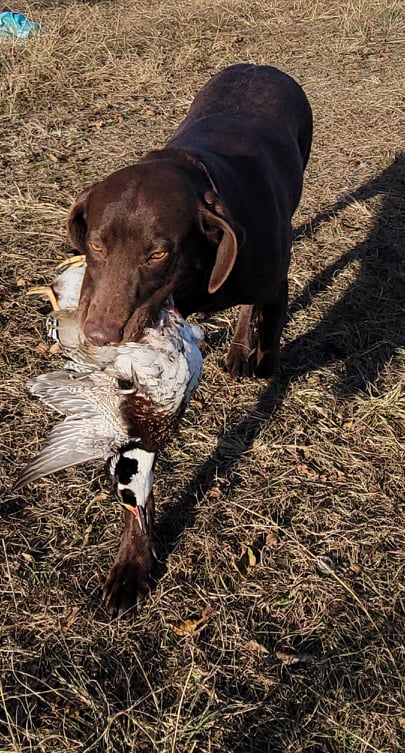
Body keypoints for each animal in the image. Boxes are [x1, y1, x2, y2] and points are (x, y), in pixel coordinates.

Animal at [67, 66, 312, 612]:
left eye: (159, 253)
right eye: (95, 244)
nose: (99, 334)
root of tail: (260, 65)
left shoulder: (272, 281)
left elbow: (270, 334)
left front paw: (261, 360)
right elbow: (138, 474)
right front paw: (133, 562)